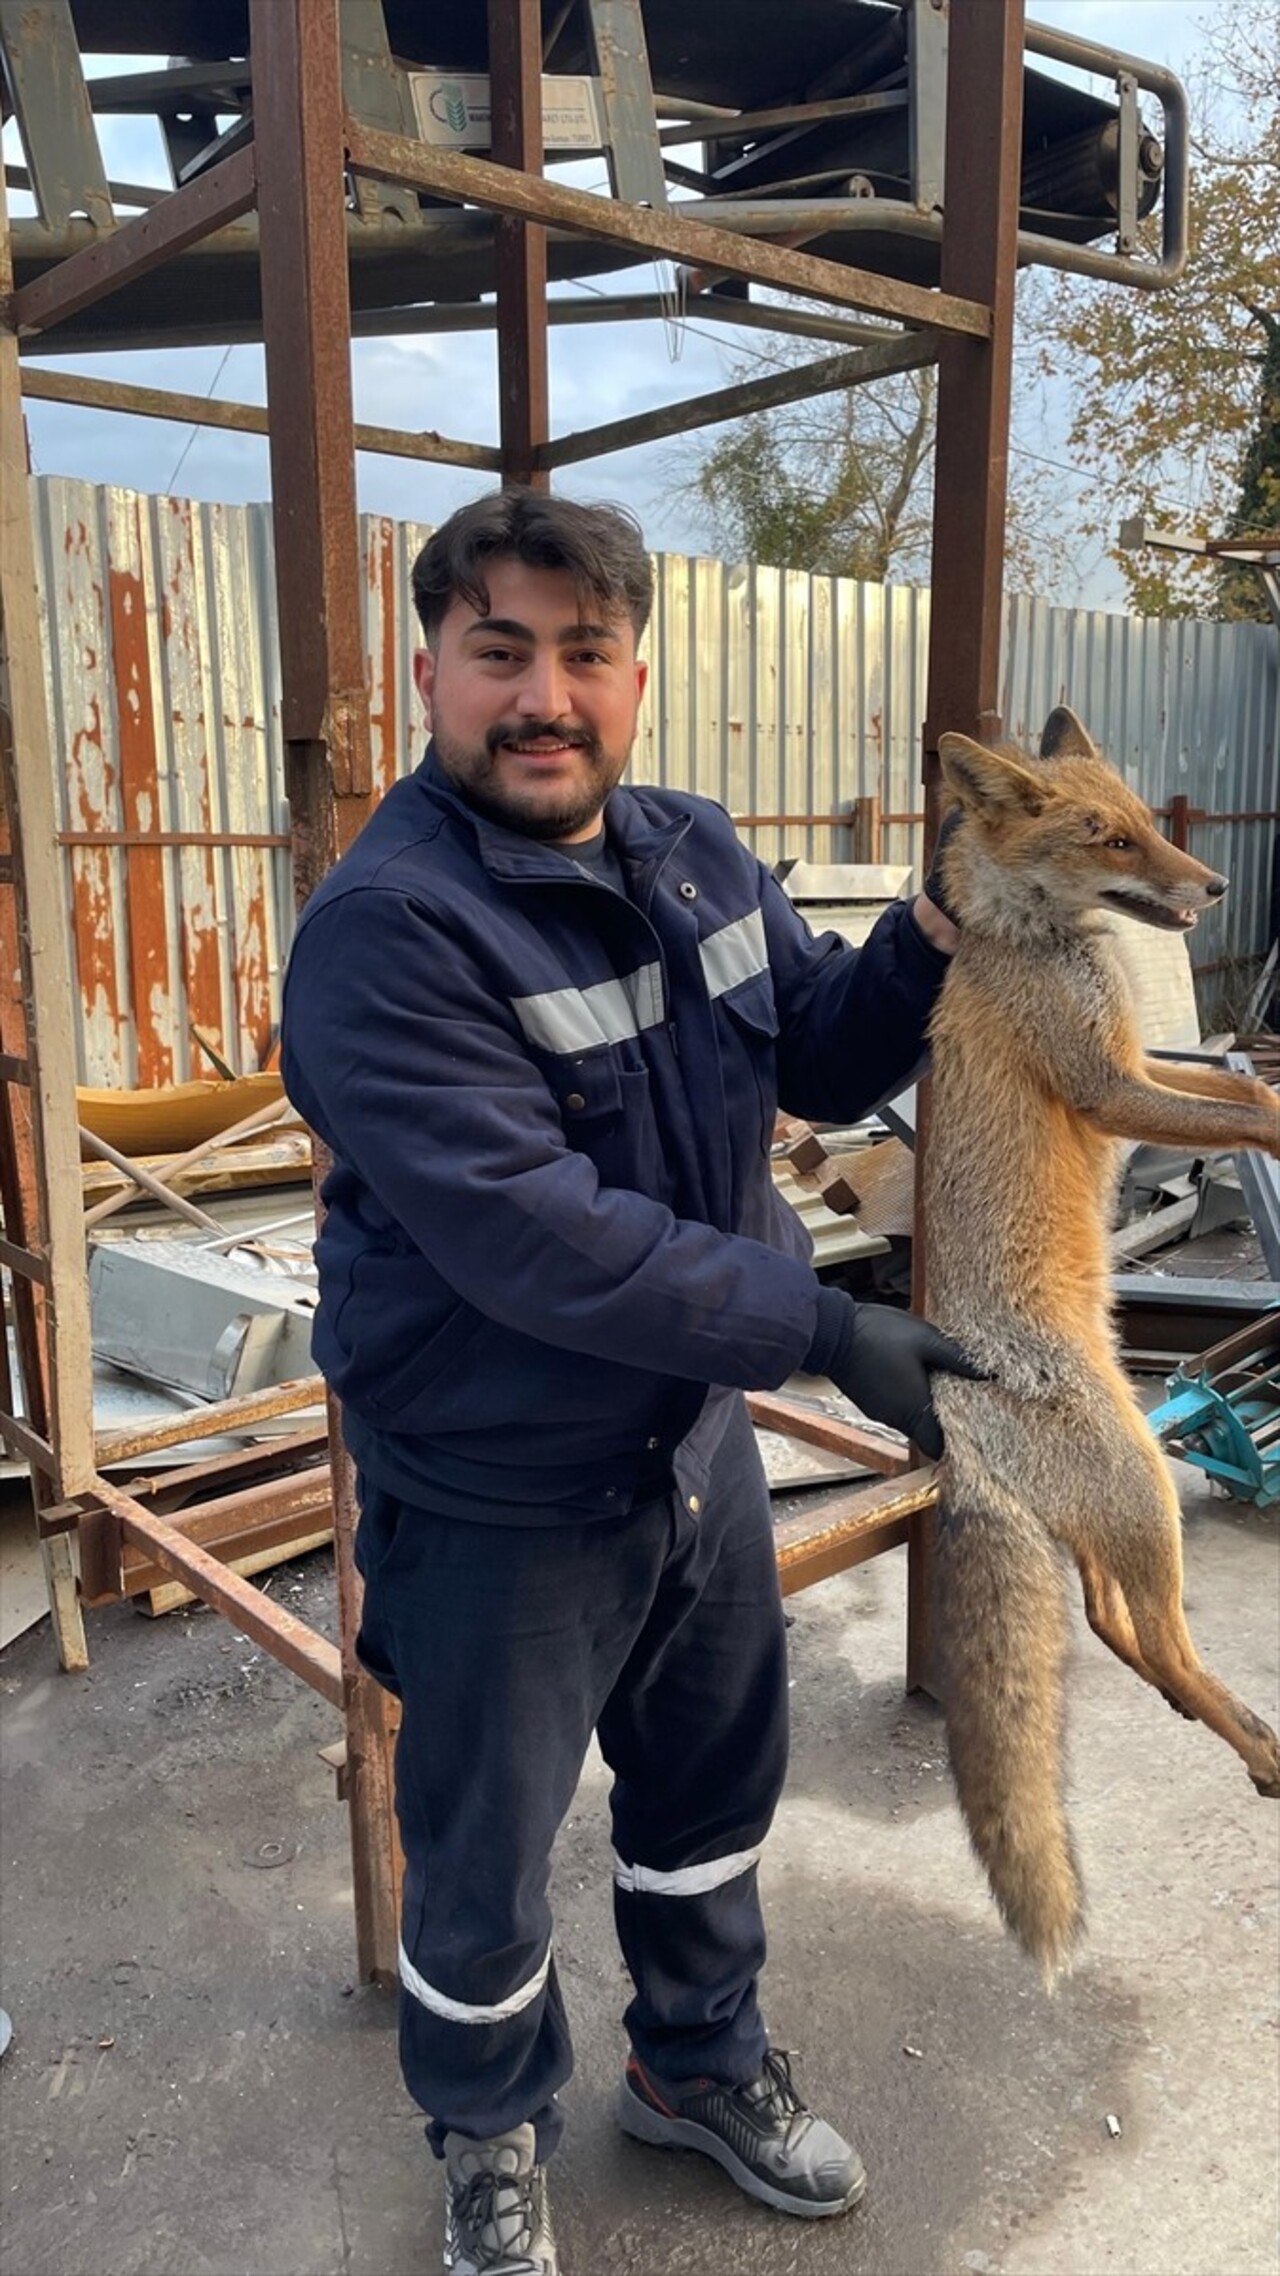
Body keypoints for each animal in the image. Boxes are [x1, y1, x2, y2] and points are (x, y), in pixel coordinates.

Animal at [915, 701, 1275, 1984]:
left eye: (1141, 823)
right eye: (1107, 837)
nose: (1211, 883)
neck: (1026, 942)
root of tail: (952, 1419)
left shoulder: (1134, 1059)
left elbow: (1246, 1094)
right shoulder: (1105, 1082)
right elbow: (1254, 1111)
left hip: (1117, 1499)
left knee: (1116, 1624)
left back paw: (1232, 1722)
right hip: (1143, 1491)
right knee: (1153, 1638)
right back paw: (1261, 1750)